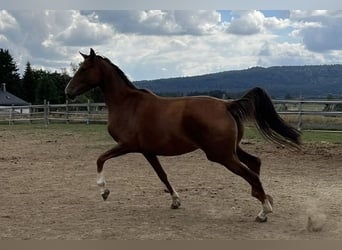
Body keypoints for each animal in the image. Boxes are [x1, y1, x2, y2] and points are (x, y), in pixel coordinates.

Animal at [65, 48, 300, 223]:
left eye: (84, 68)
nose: (68, 91)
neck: (127, 104)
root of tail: (227, 105)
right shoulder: (147, 151)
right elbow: (162, 175)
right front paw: (175, 201)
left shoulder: (127, 145)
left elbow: (100, 159)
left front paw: (104, 191)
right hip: (232, 150)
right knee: (255, 163)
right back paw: (264, 202)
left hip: (221, 155)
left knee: (251, 174)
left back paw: (264, 210)